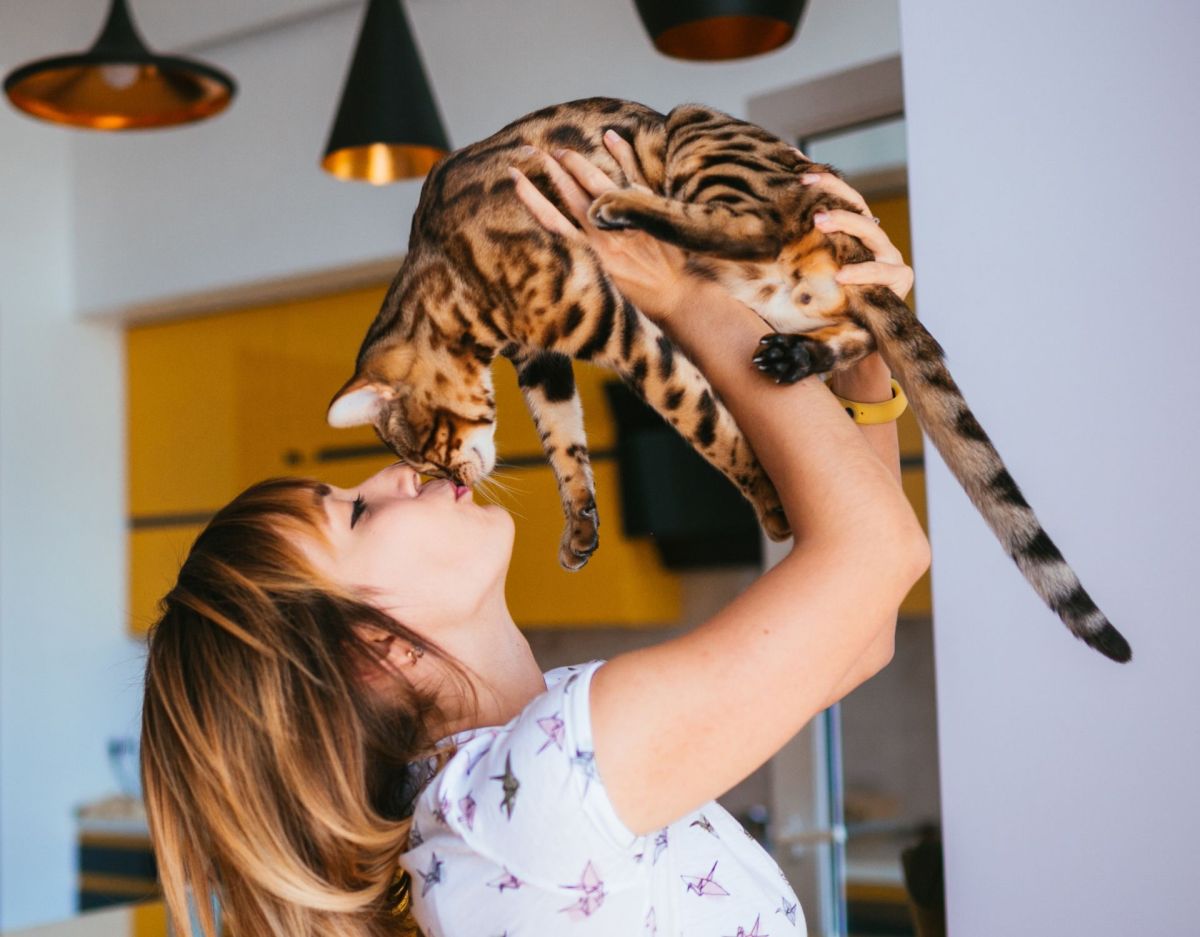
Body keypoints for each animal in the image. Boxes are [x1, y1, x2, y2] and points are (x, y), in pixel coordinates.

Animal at [326, 98, 1123, 662]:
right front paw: (580, 525)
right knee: (852, 324)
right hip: (784, 292)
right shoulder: (544, 355)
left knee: (759, 223)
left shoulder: (610, 325)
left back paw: (625, 206)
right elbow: (564, 441)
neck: (452, 276)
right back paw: (794, 356)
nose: (456, 484)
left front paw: (769, 503)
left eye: (429, 450)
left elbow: (703, 422)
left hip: (697, 133)